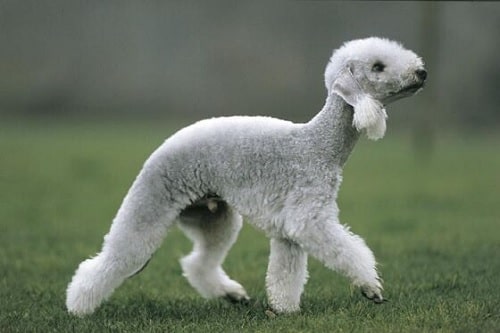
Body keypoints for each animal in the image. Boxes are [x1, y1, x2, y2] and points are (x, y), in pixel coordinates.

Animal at [65, 36, 426, 314]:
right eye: (378, 66)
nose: (421, 72)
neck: (319, 144)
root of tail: (160, 149)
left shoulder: (287, 229)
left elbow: (285, 272)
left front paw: (284, 310)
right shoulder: (309, 217)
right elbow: (345, 249)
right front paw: (370, 287)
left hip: (214, 218)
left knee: (199, 263)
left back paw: (231, 294)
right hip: (150, 205)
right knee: (112, 260)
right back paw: (78, 307)